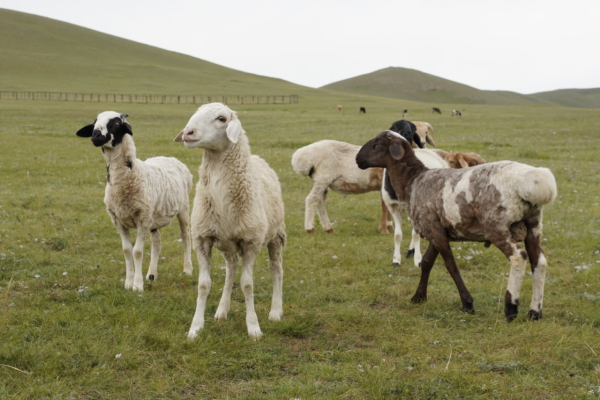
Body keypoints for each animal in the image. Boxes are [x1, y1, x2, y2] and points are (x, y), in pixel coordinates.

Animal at [75, 111, 192, 292]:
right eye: (94, 122)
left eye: (116, 124)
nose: (95, 135)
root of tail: (171, 158)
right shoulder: (118, 220)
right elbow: (127, 250)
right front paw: (128, 283)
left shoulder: (142, 219)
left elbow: (137, 251)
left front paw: (137, 285)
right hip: (153, 215)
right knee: (156, 241)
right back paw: (152, 274)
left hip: (183, 208)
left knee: (185, 236)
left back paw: (187, 269)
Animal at [173, 101, 286, 340]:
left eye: (221, 119)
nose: (188, 132)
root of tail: (258, 158)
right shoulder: (202, 239)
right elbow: (203, 285)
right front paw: (195, 327)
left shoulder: (251, 242)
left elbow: (247, 285)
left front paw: (253, 327)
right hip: (226, 243)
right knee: (231, 269)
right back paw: (222, 310)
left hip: (276, 235)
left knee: (276, 270)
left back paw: (275, 311)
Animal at [356, 131, 556, 322]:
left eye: (378, 143)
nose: (358, 159)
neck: (412, 181)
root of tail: (534, 181)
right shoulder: (436, 229)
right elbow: (427, 262)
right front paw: (418, 297)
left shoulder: (434, 231)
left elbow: (451, 266)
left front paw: (467, 304)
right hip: (533, 225)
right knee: (539, 262)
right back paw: (534, 312)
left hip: (496, 225)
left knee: (518, 257)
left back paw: (511, 309)